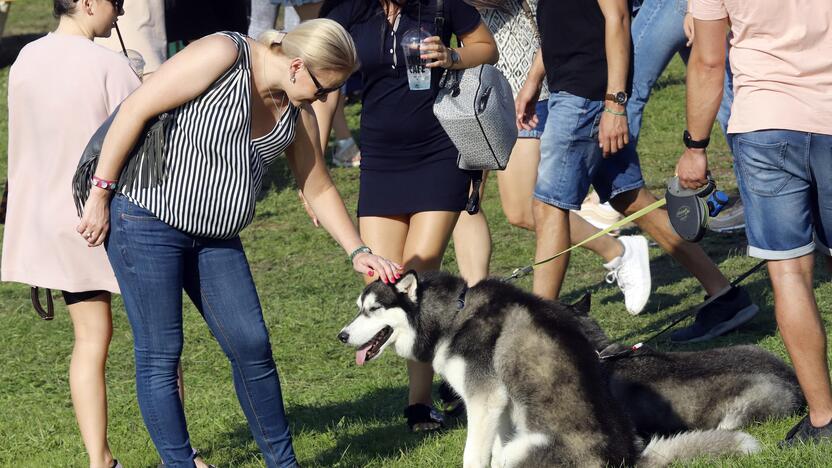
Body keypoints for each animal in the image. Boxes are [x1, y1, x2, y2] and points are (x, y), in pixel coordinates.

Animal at [338, 272, 760, 466]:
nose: (342, 335)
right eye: (358, 308)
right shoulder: (501, 408)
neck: (453, 315)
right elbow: (491, 449)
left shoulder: (484, 399)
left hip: (526, 450)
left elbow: (474, 455)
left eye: (372, 310)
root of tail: (627, 459)